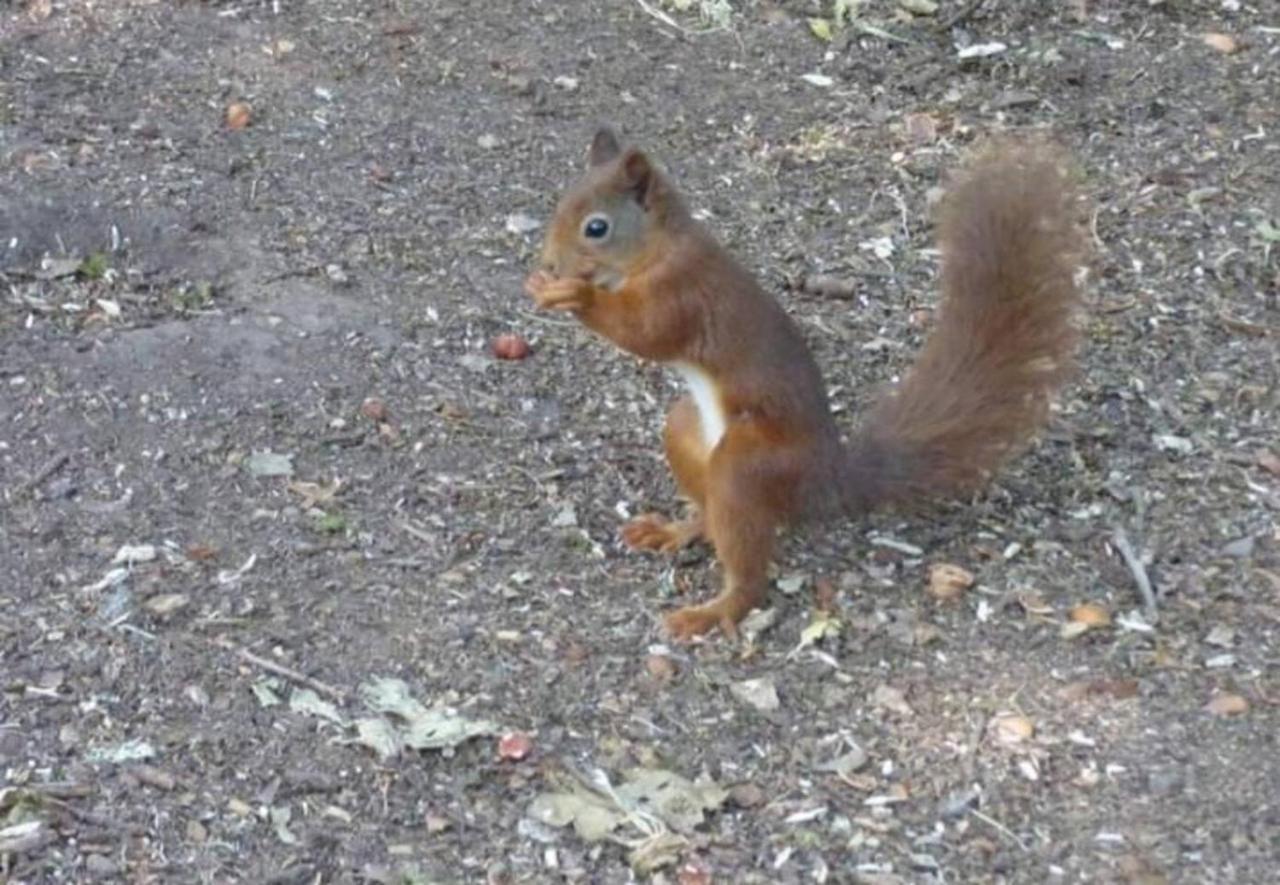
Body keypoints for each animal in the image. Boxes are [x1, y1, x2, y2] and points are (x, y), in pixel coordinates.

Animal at [524, 128, 1085, 640]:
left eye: (596, 227)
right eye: (559, 204)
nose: (549, 263)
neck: (661, 246)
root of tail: (826, 476)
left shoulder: (682, 293)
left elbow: (645, 333)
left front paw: (574, 295)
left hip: (749, 462)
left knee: (747, 570)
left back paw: (714, 611)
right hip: (686, 431)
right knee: (710, 512)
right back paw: (677, 529)